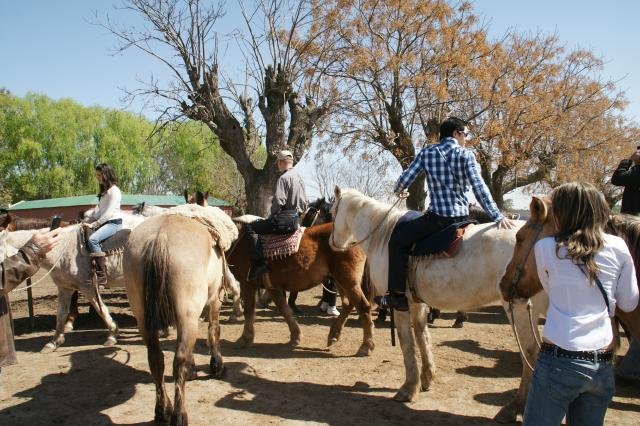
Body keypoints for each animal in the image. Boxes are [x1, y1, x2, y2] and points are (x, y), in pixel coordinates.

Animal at [328, 188, 548, 424]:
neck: (383, 236)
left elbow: (407, 343)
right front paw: (426, 378)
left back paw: (514, 407)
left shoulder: (400, 303)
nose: (332, 243)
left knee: (530, 353)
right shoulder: (417, 303)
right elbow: (422, 336)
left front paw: (408, 388)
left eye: (331, 212)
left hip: (518, 309)